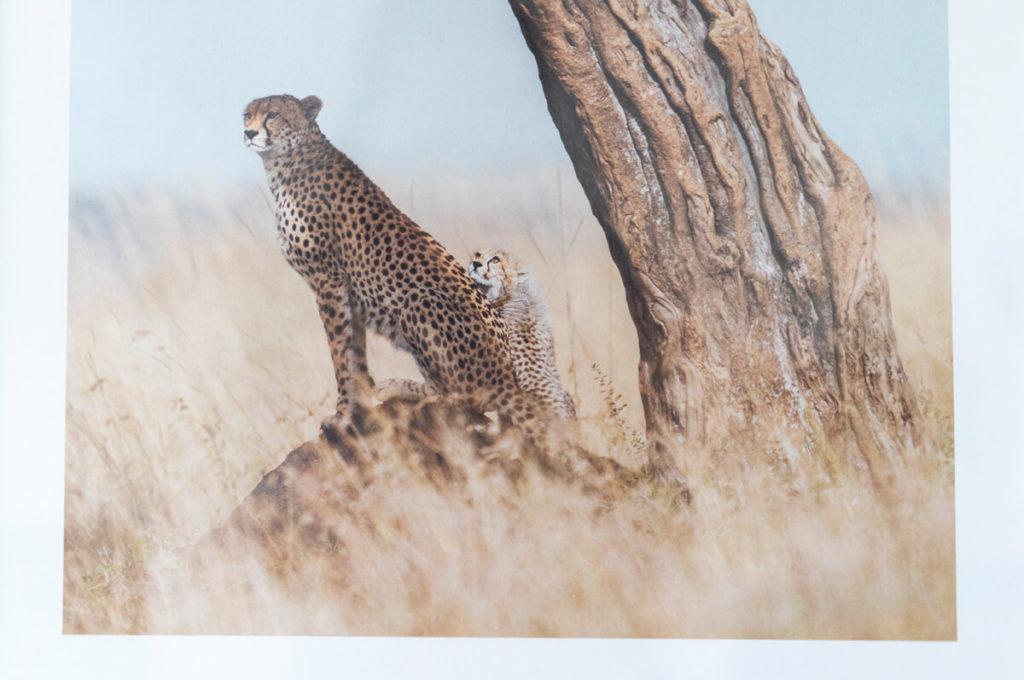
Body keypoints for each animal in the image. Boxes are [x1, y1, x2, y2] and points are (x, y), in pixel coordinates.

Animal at [242, 94, 546, 442]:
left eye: (273, 115)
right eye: (247, 114)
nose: (249, 133)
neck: (287, 162)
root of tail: (509, 378)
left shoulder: (328, 281)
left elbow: (339, 354)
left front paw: (341, 415)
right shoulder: (349, 294)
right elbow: (355, 353)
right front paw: (359, 404)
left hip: (419, 302)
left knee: (464, 399)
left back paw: (401, 387)